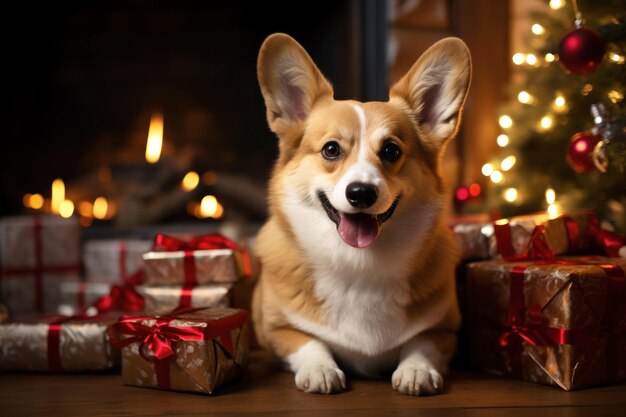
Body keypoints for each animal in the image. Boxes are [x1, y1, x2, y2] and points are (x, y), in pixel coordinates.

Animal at [251, 34, 470, 394]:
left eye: (391, 150)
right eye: (331, 149)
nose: (361, 193)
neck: (358, 264)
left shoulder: (445, 330)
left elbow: (421, 343)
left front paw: (416, 371)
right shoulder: (276, 330)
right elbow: (309, 342)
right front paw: (320, 370)